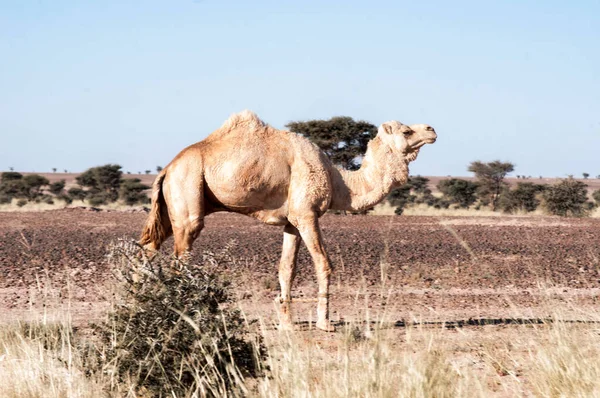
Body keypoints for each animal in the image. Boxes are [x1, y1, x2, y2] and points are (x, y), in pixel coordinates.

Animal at [140, 110, 436, 332]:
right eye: (407, 132)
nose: (432, 129)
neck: (339, 182)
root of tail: (168, 168)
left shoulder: (291, 222)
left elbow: (286, 269)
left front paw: (287, 323)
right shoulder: (307, 214)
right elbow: (323, 264)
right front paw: (325, 323)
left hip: (169, 206)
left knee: (148, 248)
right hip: (188, 192)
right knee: (180, 256)